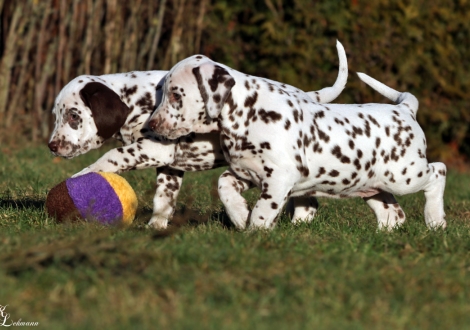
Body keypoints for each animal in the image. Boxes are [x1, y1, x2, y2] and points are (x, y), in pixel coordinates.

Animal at [47, 40, 348, 227]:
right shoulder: (170, 166)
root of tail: (306, 95)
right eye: (56, 116)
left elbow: (113, 155)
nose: (52, 146)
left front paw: (84, 174)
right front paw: (157, 225)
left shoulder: (155, 148)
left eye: (73, 116)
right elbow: (164, 197)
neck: (138, 100)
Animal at [149, 45, 446, 232]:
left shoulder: (279, 177)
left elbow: (263, 210)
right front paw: (239, 215)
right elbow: (224, 185)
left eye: (175, 94)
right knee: (393, 213)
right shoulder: (247, 172)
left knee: (438, 173)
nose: (151, 124)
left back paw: (435, 220)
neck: (249, 112)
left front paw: (255, 231)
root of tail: (405, 108)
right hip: (373, 184)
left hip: (404, 175)